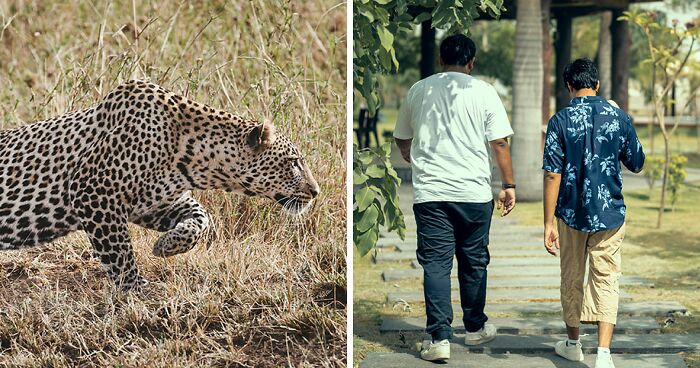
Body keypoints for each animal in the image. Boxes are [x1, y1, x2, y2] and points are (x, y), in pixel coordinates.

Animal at [0, 80, 320, 290]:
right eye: (294, 162)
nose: (316, 191)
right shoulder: (93, 191)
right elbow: (119, 251)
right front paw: (136, 288)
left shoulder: (153, 204)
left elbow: (201, 217)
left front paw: (166, 246)